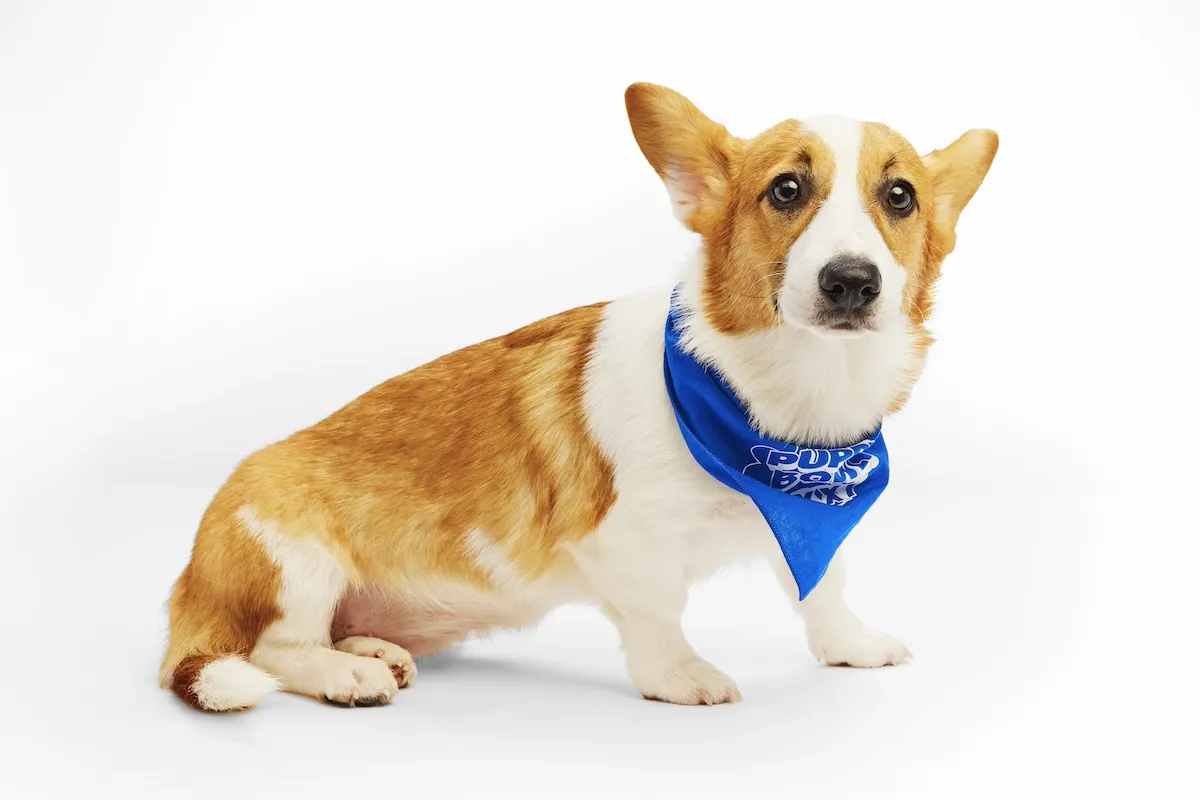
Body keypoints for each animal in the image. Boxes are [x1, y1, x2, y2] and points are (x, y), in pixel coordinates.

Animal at [162, 84, 1003, 714]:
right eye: (787, 190)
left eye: (900, 196)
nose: (852, 282)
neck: (788, 397)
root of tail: (188, 585)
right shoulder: (625, 543)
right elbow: (660, 612)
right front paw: (682, 678)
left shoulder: (810, 519)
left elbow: (824, 586)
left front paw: (849, 647)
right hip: (291, 556)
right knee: (274, 649)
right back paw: (347, 672)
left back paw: (371, 647)